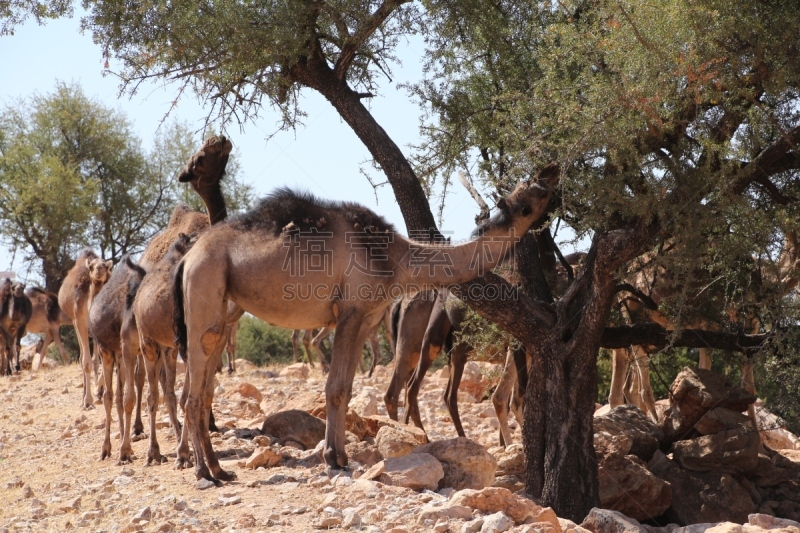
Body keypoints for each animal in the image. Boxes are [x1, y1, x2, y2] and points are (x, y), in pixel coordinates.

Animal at [58, 249, 112, 408]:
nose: (99, 269)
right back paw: (84, 397)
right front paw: (88, 401)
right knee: (83, 357)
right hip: (75, 323)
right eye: (92, 266)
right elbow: (86, 361)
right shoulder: (79, 321)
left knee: (94, 359)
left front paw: (98, 391)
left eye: (105, 265)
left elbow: (101, 358)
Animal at [172, 163, 560, 482]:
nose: (551, 172)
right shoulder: (351, 311)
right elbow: (335, 387)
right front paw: (334, 459)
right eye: (534, 193)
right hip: (206, 286)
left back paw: (218, 468)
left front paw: (340, 457)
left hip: (222, 308)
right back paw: (204, 472)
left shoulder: (367, 315)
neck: (396, 258)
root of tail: (188, 258)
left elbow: (346, 387)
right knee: (193, 392)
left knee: (201, 386)